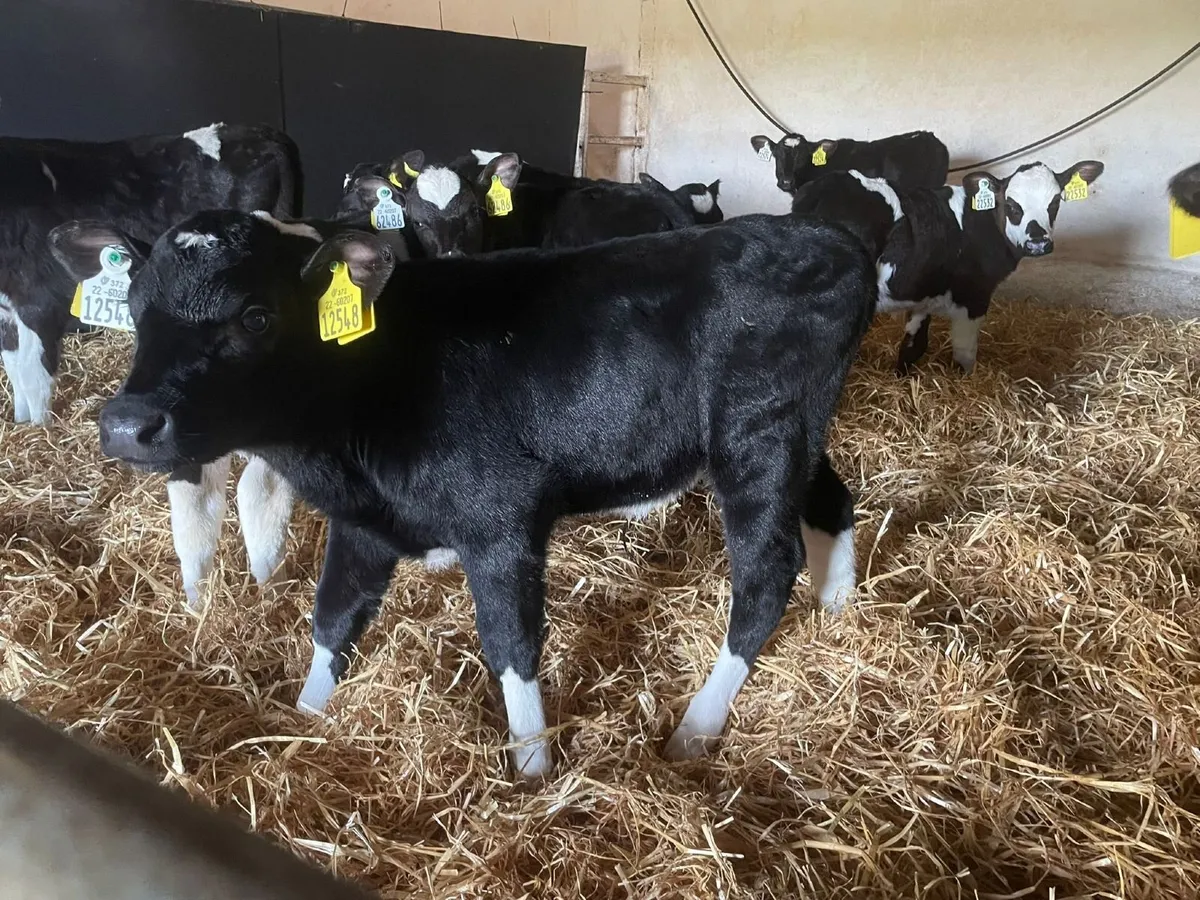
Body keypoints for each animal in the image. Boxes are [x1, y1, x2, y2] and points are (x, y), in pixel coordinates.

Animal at [12, 123, 302, 605]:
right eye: (132, 308)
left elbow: (260, 503)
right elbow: (195, 521)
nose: (127, 429)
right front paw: (199, 609)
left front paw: (269, 597)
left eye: (257, 318)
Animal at [62, 209, 876, 778]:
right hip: (796, 441)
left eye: (256, 316)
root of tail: (830, 236)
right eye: (134, 304)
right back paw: (838, 613)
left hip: (758, 438)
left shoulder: (501, 519)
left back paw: (694, 730)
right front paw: (306, 721)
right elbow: (333, 621)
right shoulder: (365, 524)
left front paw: (534, 768)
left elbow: (511, 643)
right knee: (835, 504)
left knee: (766, 573)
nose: (128, 424)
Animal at [791, 160, 1104, 373]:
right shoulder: (973, 298)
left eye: (1055, 202)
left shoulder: (923, 293)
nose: (1038, 242)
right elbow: (965, 354)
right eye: (1012, 205)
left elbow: (913, 345)